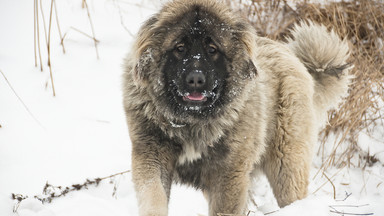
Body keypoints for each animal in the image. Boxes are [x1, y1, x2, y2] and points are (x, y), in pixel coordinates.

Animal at [123, 0, 352, 215]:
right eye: (180, 48)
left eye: (212, 49)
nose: (195, 79)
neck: (192, 123)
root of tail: (295, 59)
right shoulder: (152, 156)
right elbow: (154, 196)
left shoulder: (229, 174)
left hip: (286, 167)